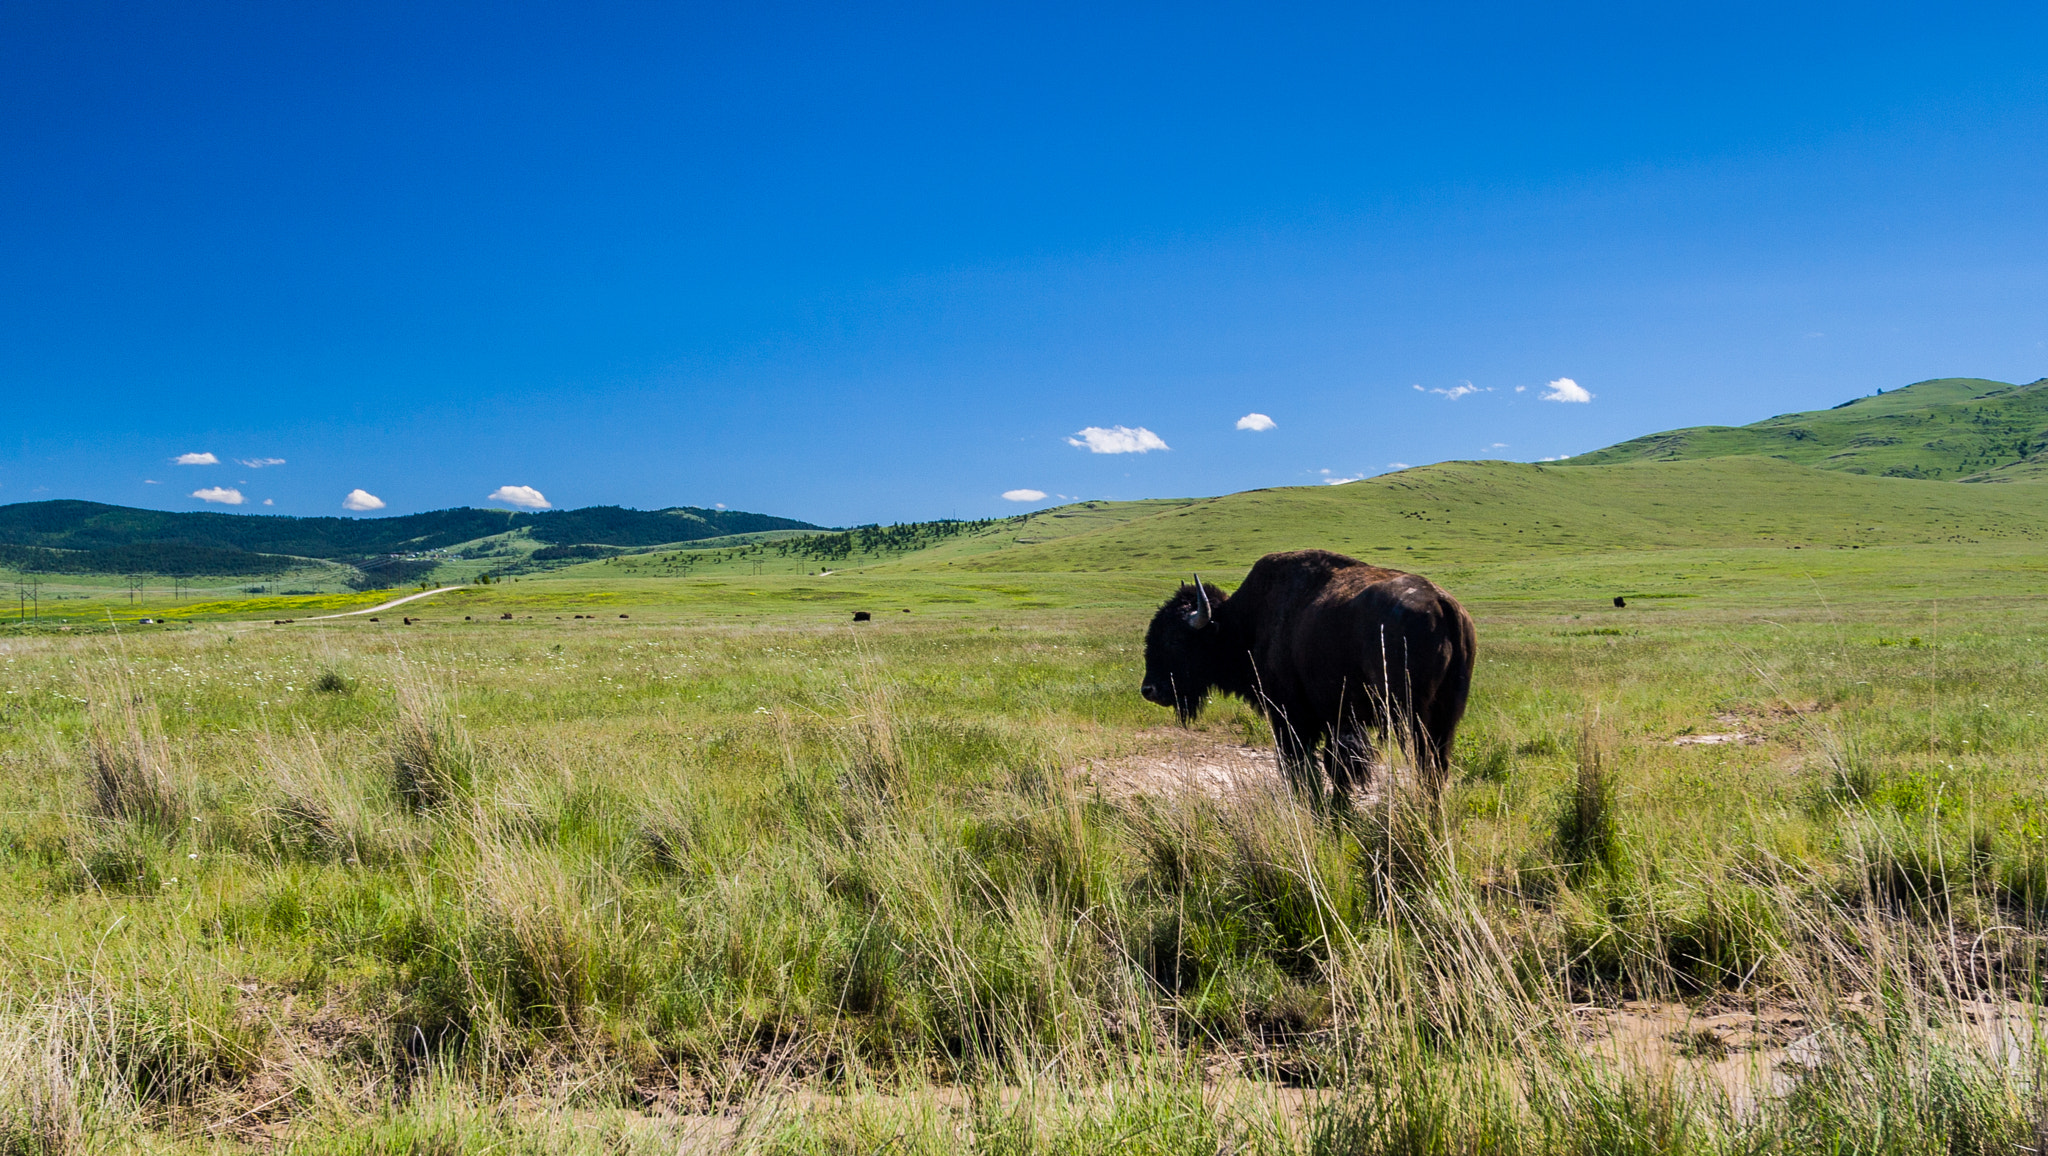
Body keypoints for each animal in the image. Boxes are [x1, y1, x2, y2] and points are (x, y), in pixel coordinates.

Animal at [1141, 549, 1477, 807]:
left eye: (1174, 639)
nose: (1150, 690)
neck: (1243, 622)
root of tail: (1442, 603)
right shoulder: (1336, 718)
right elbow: (1336, 765)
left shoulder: (1290, 716)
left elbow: (1302, 764)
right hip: (1444, 719)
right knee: (1436, 768)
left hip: (1410, 716)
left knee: (1425, 765)